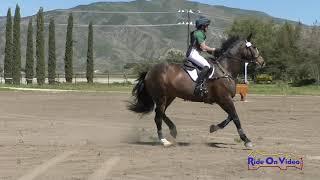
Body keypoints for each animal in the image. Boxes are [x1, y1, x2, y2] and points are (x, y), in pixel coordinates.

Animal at [127, 33, 264, 148]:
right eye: (254, 47)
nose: (262, 62)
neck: (225, 69)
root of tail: (149, 71)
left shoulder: (224, 100)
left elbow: (230, 116)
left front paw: (213, 128)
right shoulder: (224, 99)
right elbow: (235, 117)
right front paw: (246, 140)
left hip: (169, 96)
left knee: (160, 113)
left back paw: (173, 130)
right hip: (161, 97)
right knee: (158, 117)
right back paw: (163, 141)